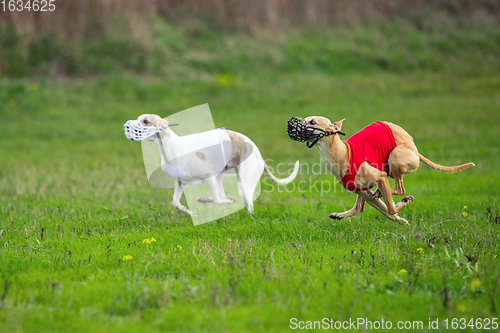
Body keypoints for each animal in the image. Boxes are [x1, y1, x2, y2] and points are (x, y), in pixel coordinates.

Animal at [124, 113, 298, 215]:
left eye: (146, 121)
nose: (126, 126)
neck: (172, 147)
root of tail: (259, 155)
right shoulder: (181, 182)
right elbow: (175, 203)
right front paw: (189, 212)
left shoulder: (208, 176)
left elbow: (218, 200)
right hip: (220, 176)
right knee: (223, 196)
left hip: (243, 182)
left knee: (246, 204)